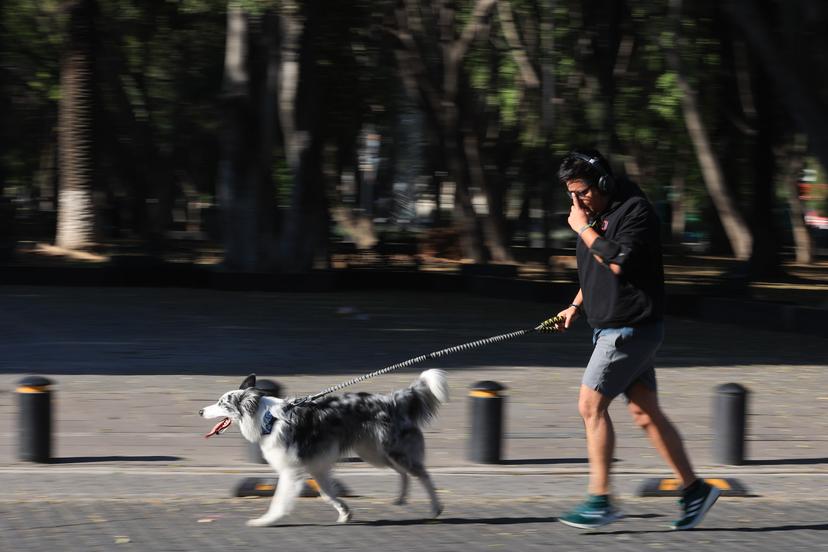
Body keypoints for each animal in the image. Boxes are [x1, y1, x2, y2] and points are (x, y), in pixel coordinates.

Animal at [198, 366, 450, 528]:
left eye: (222, 403)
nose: (200, 411)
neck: (267, 418)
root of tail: (394, 400)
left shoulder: (291, 470)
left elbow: (279, 501)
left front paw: (266, 520)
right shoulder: (316, 467)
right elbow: (328, 494)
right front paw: (346, 513)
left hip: (391, 451)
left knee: (422, 474)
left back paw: (435, 508)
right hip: (375, 453)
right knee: (404, 472)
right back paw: (401, 499)